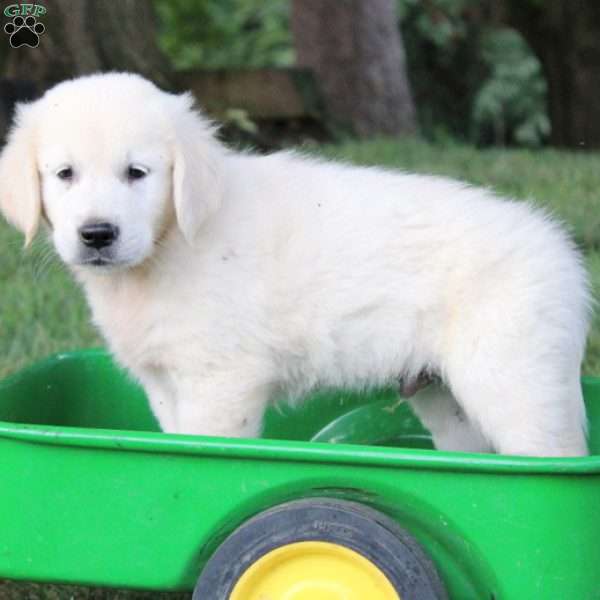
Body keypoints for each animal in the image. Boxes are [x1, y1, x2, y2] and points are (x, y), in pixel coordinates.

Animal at [0, 72, 592, 454]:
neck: (171, 243)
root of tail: (564, 254)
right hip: (449, 400)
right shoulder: (165, 382)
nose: (97, 235)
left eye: (137, 173)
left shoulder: (222, 381)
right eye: (65, 174)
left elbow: (202, 454)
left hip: (515, 383)